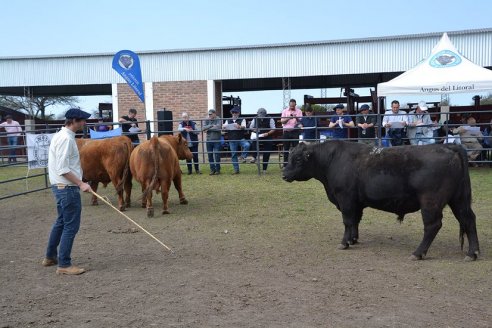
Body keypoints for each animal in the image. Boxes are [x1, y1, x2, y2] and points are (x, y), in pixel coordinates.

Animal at [282, 141, 478, 262]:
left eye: (297, 159)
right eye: (290, 157)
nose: (283, 174)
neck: (332, 160)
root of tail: (449, 146)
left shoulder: (345, 199)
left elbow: (347, 221)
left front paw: (344, 243)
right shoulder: (356, 203)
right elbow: (355, 221)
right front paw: (353, 239)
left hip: (431, 202)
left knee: (433, 226)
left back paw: (418, 253)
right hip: (459, 199)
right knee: (468, 219)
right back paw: (472, 253)